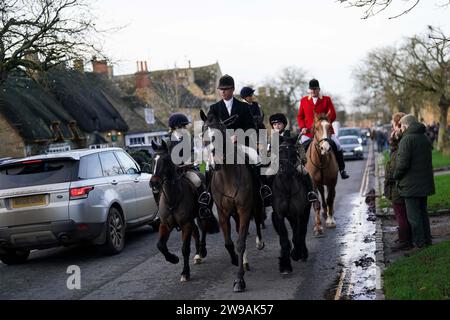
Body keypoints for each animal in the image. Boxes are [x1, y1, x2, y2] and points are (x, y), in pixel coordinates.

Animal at [150, 140, 219, 282]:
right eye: (153, 160)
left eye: (165, 160)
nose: (153, 183)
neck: (173, 198)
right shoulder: (165, 225)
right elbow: (160, 245)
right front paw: (173, 259)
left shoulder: (186, 224)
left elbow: (185, 249)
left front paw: (185, 273)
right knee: (196, 232)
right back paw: (197, 254)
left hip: (202, 214)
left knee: (202, 229)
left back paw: (201, 251)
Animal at [200, 110, 266, 292]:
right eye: (203, 133)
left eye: (220, 132)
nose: (214, 164)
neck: (227, 176)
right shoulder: (223, 213)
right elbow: (229, 243)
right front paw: (235, 260)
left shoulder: (244, 210)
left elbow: (240, 243)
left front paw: (239, 280)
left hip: (254, 205)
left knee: (258, 220)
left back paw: (258, 244)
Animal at [268, 136, 312, 274]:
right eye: (279, 151)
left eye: (293, 153)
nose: (285, 170)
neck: (287, 188)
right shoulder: (279, 215)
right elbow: (284, 239)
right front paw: (285, 265)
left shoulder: (298, 214)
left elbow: (297, 236)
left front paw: (295, 254)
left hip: (305, 212)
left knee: (302, 232)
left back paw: (302, 253)